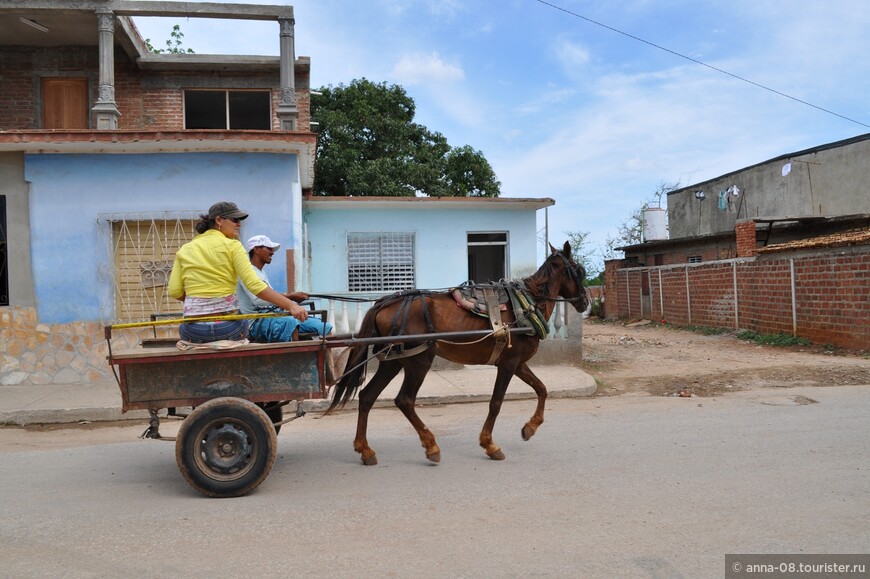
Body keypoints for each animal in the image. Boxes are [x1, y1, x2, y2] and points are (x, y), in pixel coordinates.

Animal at [324, 241, 588, 466]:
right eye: (580, 270)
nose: (585, 303)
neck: (526, 304)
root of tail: (383, 302)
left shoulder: (518, 363)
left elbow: (542, 389)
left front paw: (530, 428)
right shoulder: (508, 364)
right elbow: (496, 403)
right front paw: (489, 444)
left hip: (394, 361)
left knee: (367, 396)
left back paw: (365, 449)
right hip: (419, 360)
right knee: (405, 400)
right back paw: (431, 446)